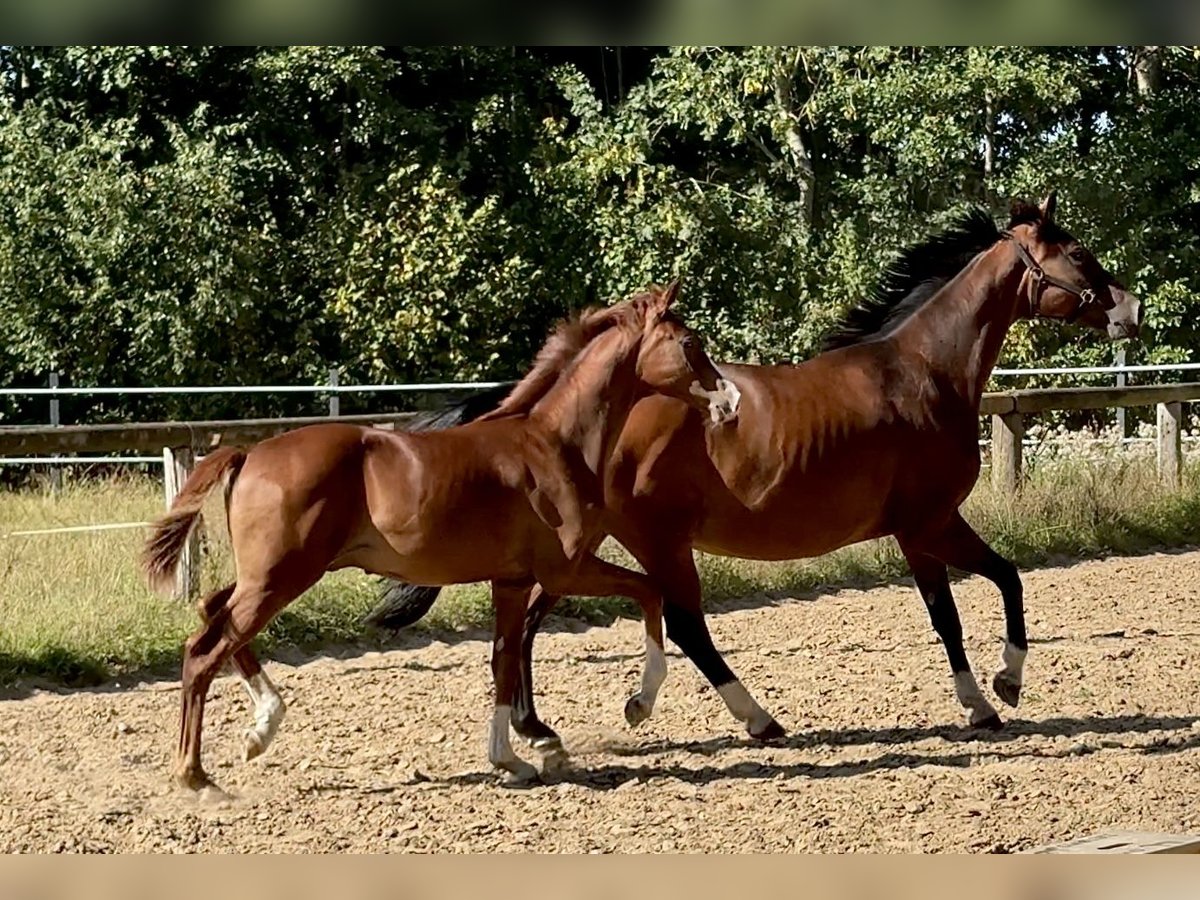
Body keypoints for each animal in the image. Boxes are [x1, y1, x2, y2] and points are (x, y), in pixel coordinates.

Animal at [140, 281, 742, 790]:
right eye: (690, 343)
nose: (730, 402)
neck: (554, 445)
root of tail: (249, 453)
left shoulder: (513, 581)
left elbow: (503, 660)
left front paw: (513, 759)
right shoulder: (563, 570)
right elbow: (650, 592)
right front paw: (637, 705)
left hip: (270, 574)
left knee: (212, 612)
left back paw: (261, 729)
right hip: (280, 575)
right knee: (204, 649)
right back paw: (197, 779)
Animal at [368, 194, 1142, 750]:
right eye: (1078, 253)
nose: (1132, 309)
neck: (922, 373)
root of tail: (546, 409)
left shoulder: (918, 531)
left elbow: (967, 603)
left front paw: (985, 700)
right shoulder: (929, 522)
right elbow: (986, 593)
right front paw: (1000, 689)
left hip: (578, 546)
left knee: (528, 623)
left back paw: (537, 728)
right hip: (656, 542)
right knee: (682, 623)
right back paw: (749, 718)